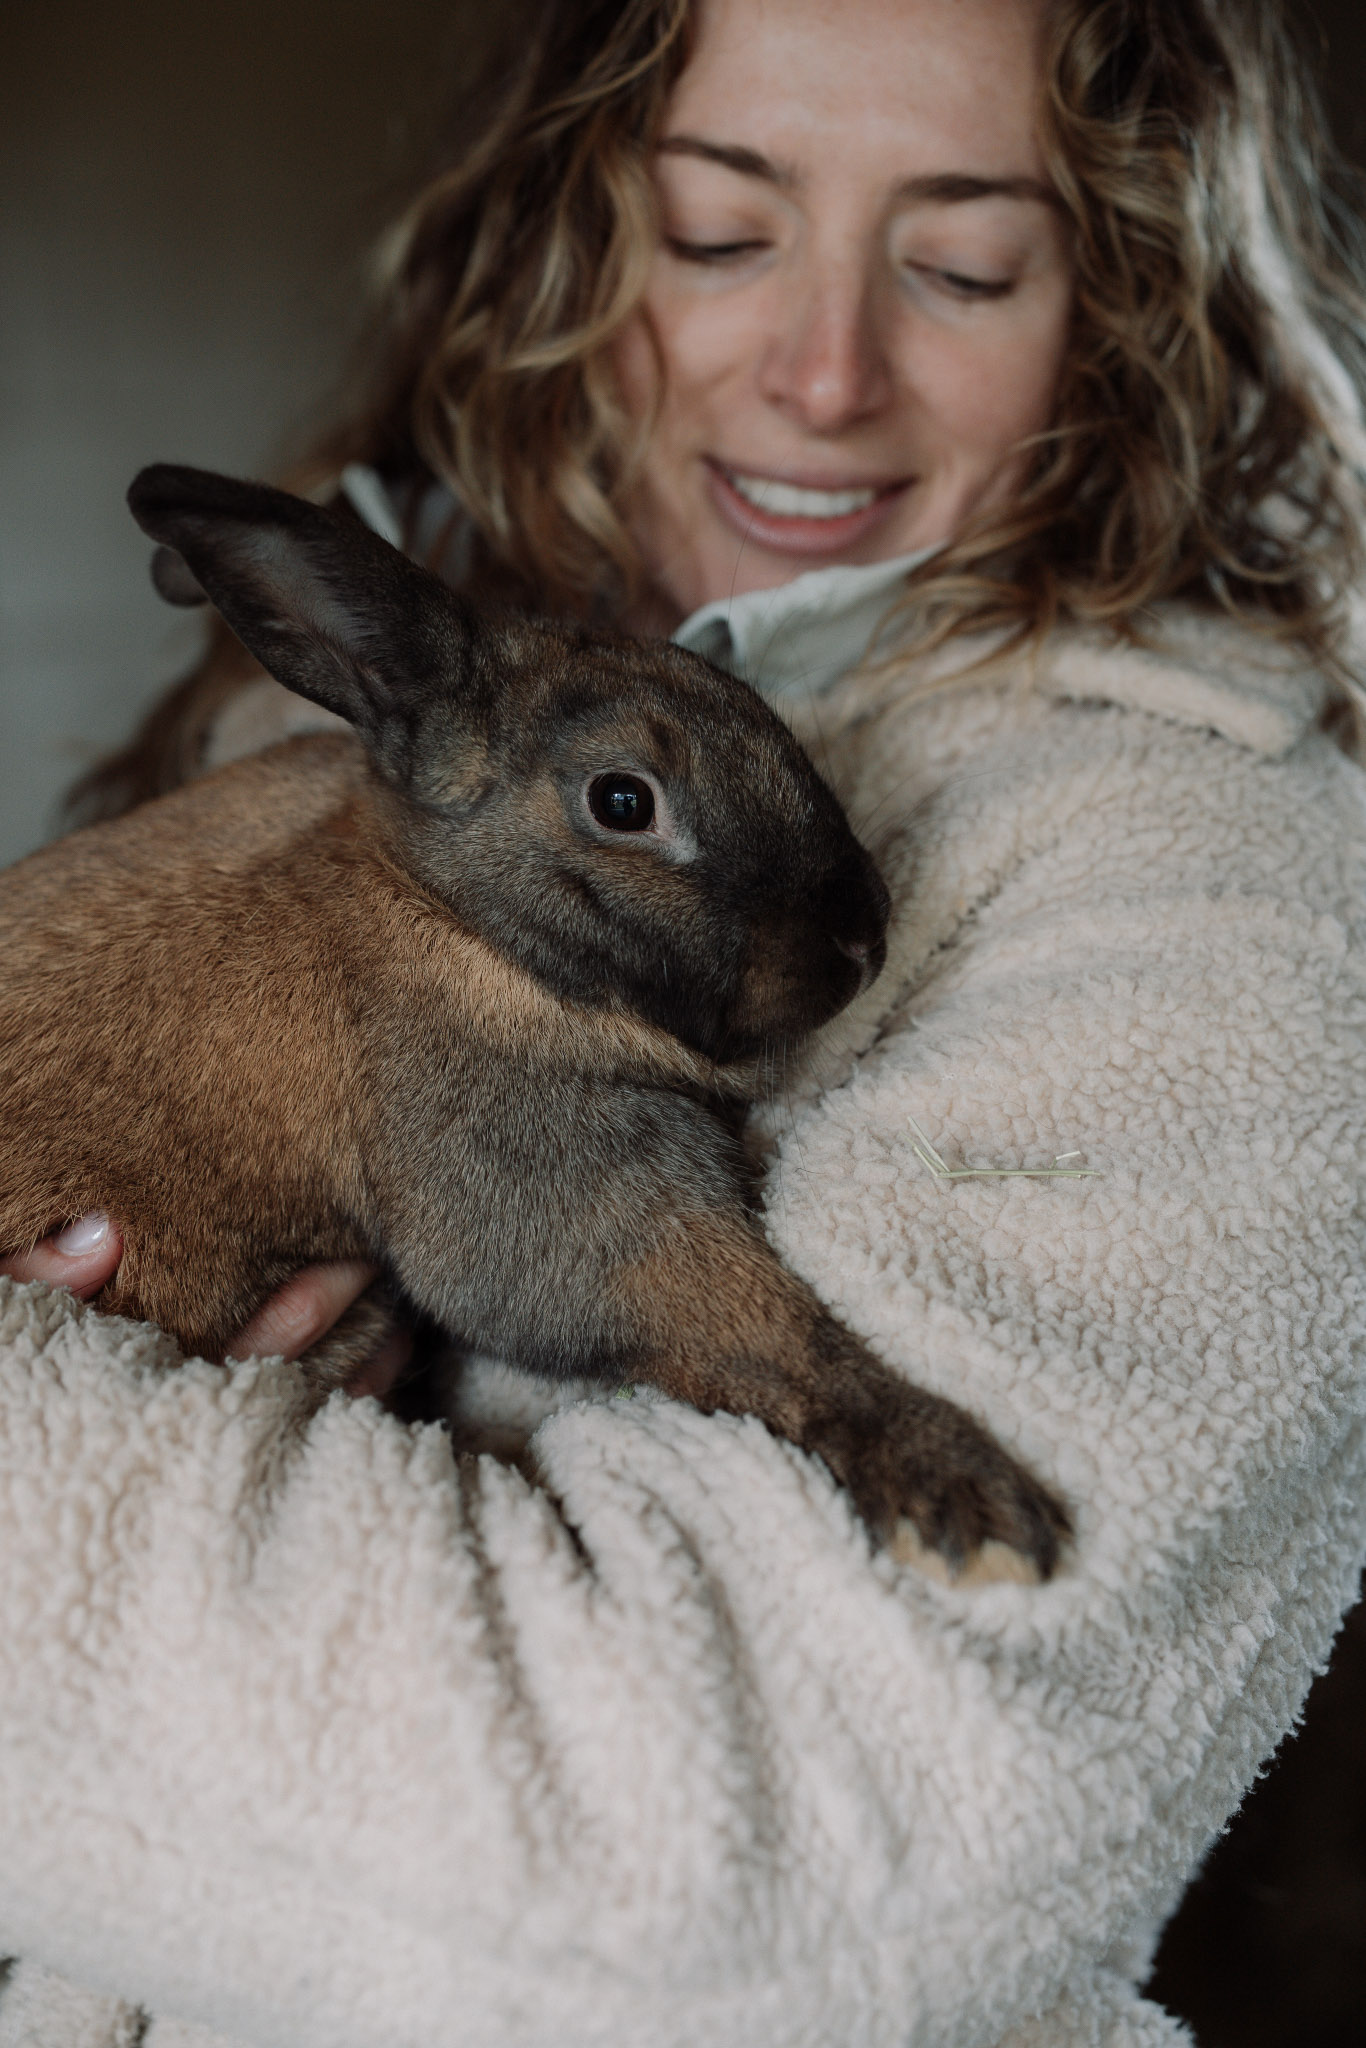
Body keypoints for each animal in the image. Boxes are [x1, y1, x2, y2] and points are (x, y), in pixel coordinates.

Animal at [0, 464, 1069, 1581]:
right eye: (622, 800)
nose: (862, 935)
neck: (449, 914)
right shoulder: (567, 1190)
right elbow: (767, 1329)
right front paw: (971, 1503)